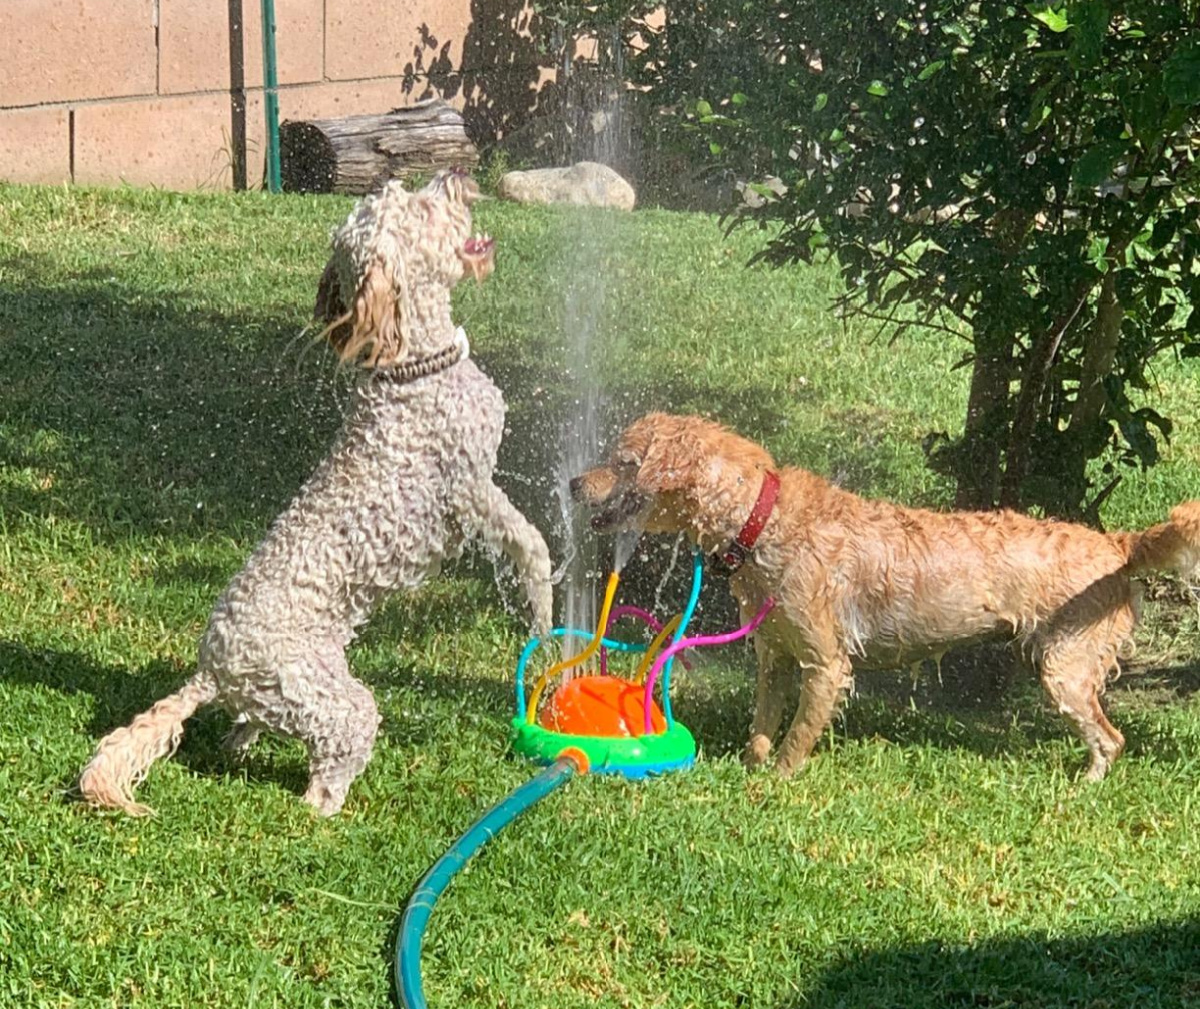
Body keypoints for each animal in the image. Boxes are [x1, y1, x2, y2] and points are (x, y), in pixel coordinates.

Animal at [77, 169, 554, 815]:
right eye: (421, 208)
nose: (455, 175)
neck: (412, 367)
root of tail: (211, 669)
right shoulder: (471, 488)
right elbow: (530, 544)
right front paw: (545, 613)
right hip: (329, 699)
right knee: (330, 767)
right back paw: (326, 810)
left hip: (276, 697)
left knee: (249, 725)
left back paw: (238, 743)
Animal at [573, 410, 1200, 777]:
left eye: (623, 461)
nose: (575, 482)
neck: (760, 520)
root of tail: (1117, 545)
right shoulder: (773, 656)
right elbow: (762, 722)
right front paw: (751, 765)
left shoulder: (826, 665)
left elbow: (798, 734)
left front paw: (775, 783)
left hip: (1067, 668)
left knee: (1111, 738)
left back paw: (1083, 784)